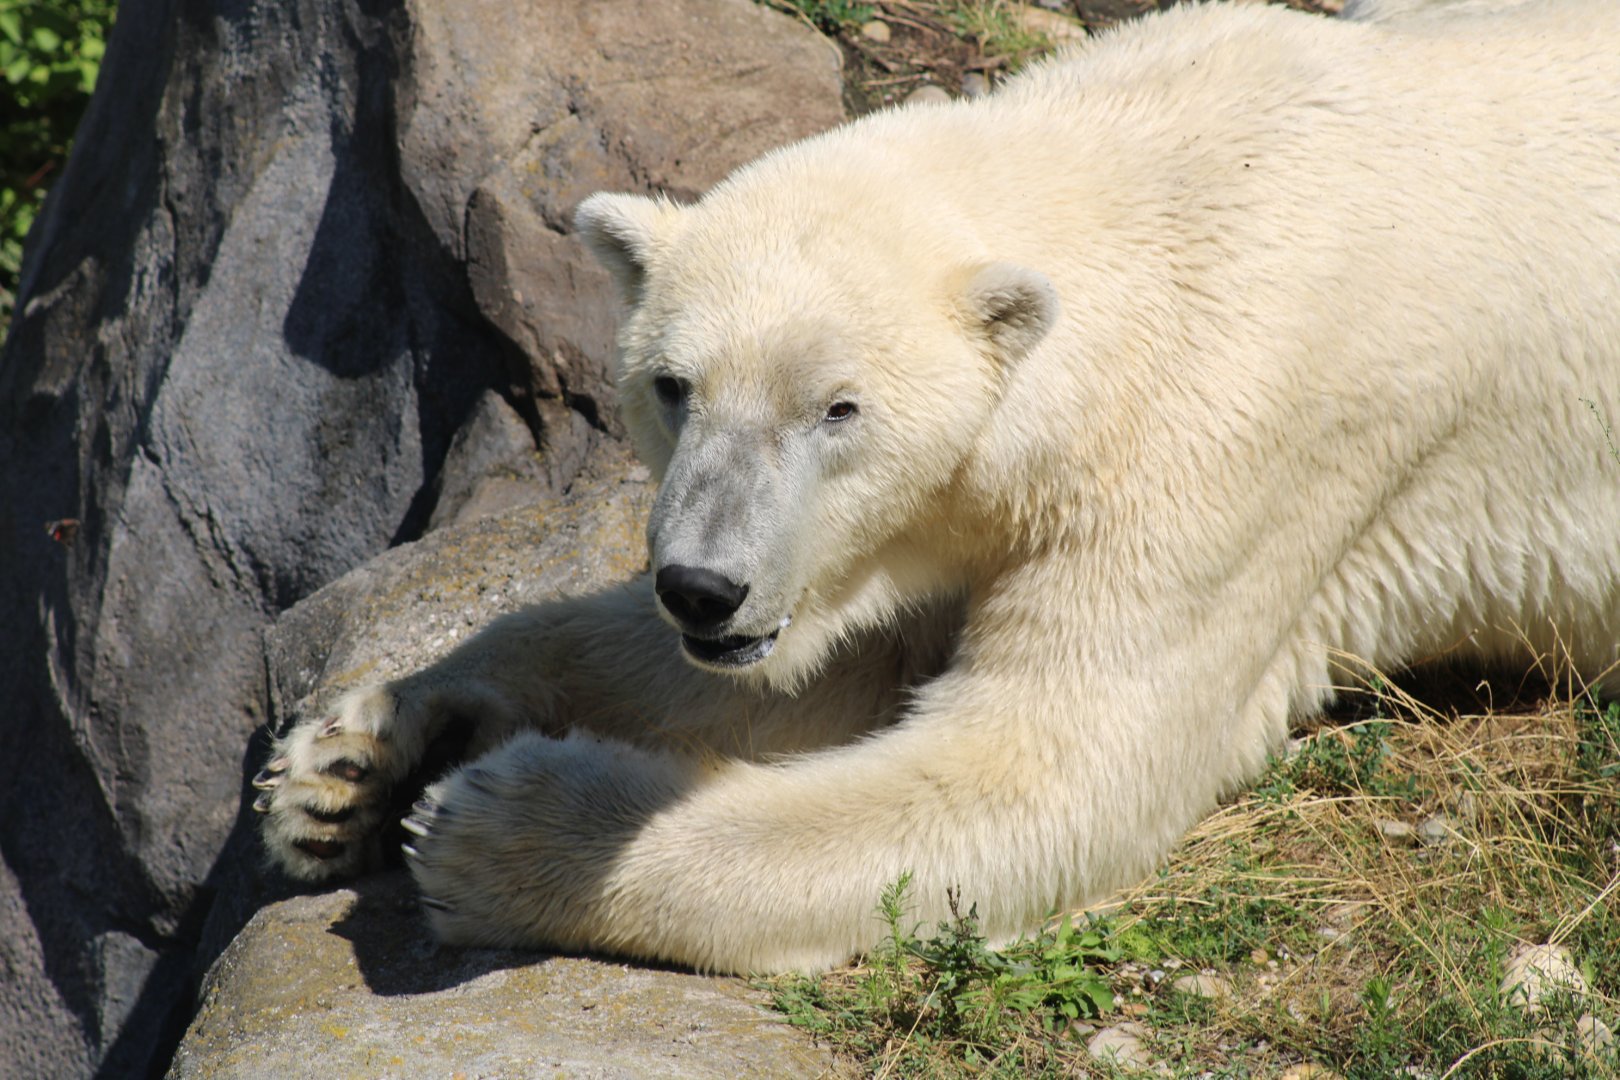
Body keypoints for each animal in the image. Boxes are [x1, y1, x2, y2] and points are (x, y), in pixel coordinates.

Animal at [255, 0, 1620, 974]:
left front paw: (491, 822)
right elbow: (822, 662)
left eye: (838, 410)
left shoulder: (1229, 451)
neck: (1163, 165)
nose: (703, 587)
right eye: (673, 386)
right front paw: (349, 760)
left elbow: (1038, 771)